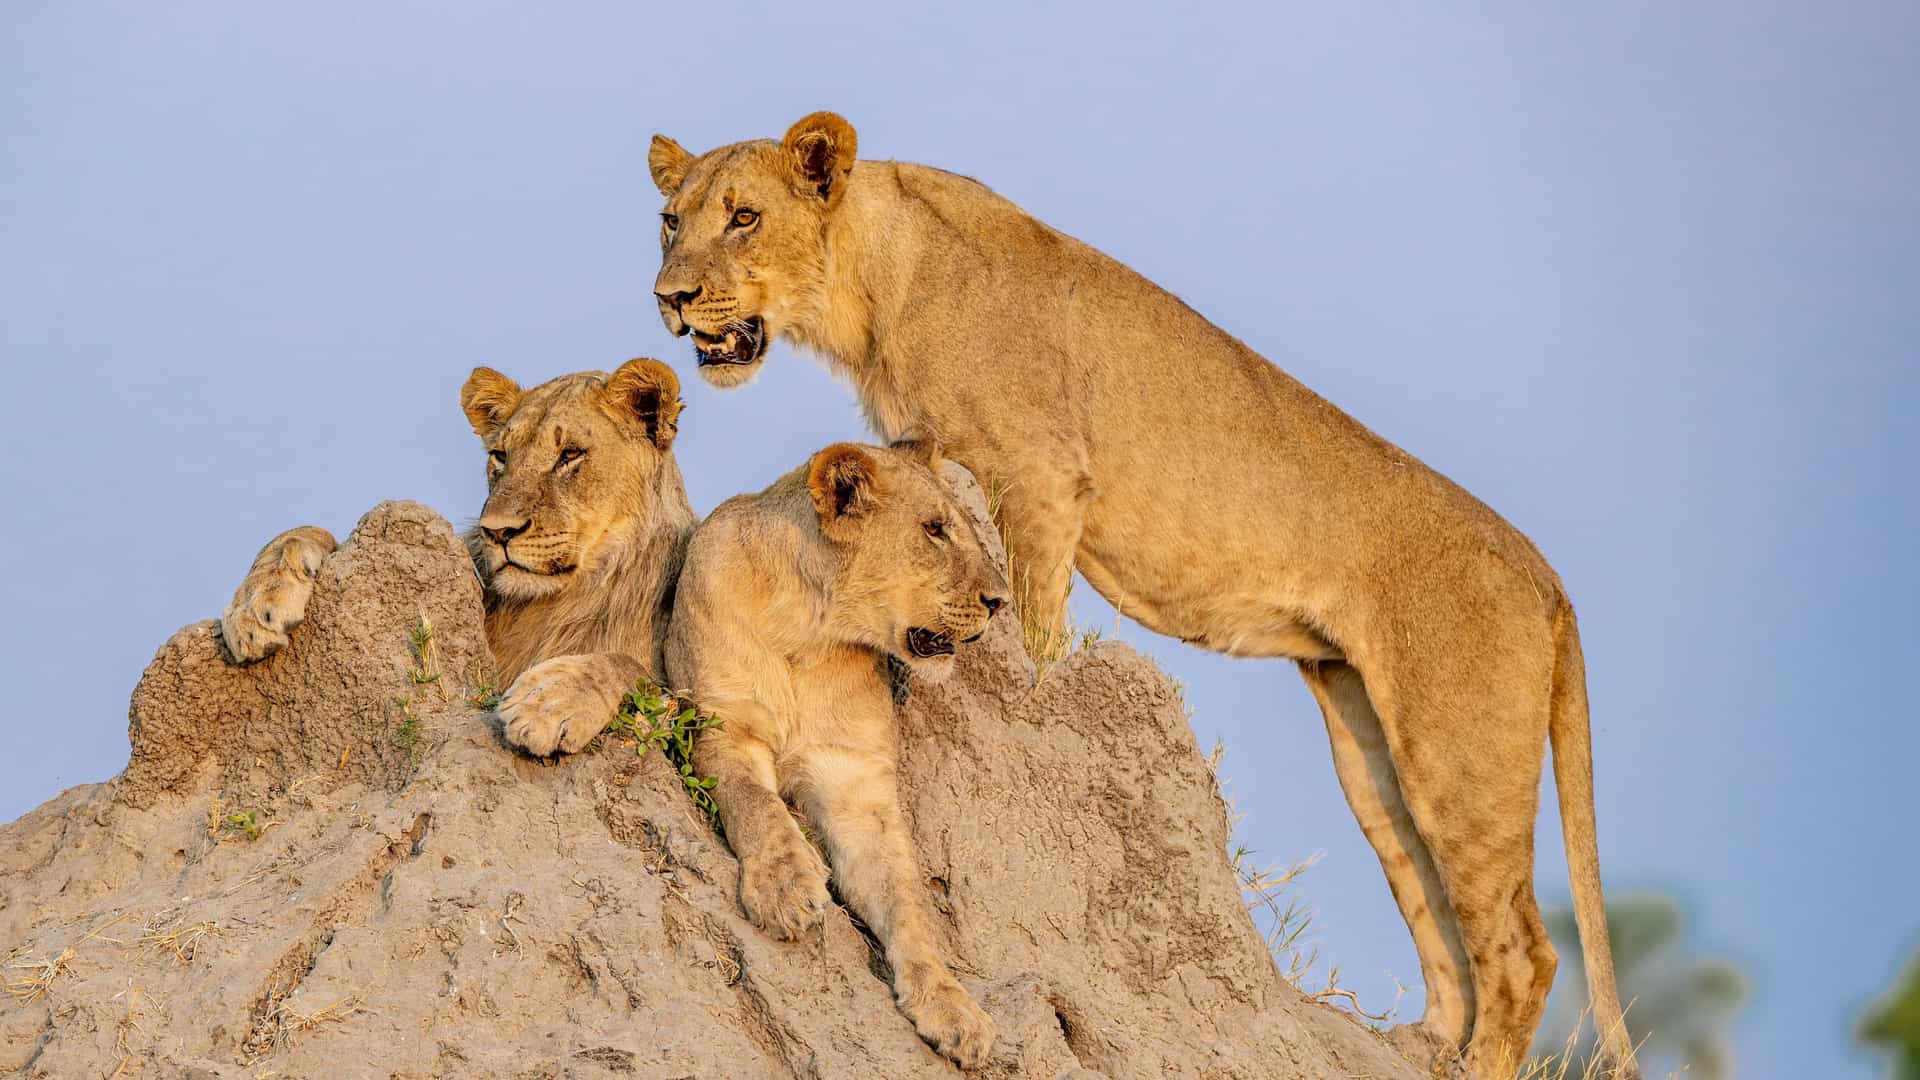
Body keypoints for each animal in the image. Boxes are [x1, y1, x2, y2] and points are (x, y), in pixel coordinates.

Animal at [220, 358, 696, 759]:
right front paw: (254, 608)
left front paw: (546, 703)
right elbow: (305, 532)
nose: (498, 531)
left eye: (570, 455)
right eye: (500, 456)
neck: (549, 603)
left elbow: (626, 667)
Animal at [663, 440, 1010, 1070]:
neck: (809, 632)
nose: (1000, 601)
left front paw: (950, 1006)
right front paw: (786, 887)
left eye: (964, 529)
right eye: (934, 530)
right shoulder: (720, 722)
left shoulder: (854, 780)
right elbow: (757, 804)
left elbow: (906, 899)